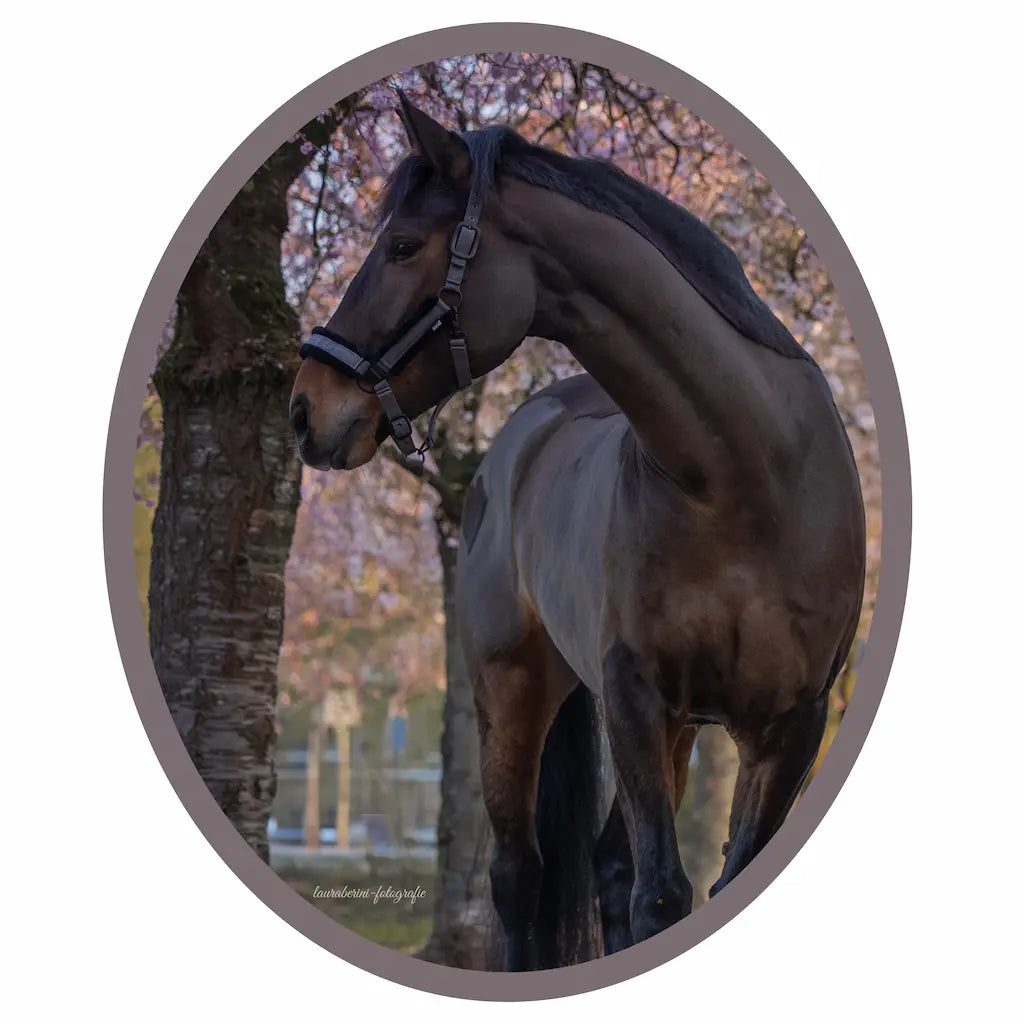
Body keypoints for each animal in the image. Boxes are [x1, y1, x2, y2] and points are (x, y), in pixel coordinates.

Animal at [290, 94, 866, 971]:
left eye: (401, 245)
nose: (305, 409)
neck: (745, 479)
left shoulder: (789, 725)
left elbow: (702, 881)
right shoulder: (635, 697)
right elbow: (661, 893)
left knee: (605, 868)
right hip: (513, 690)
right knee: (520, 876)